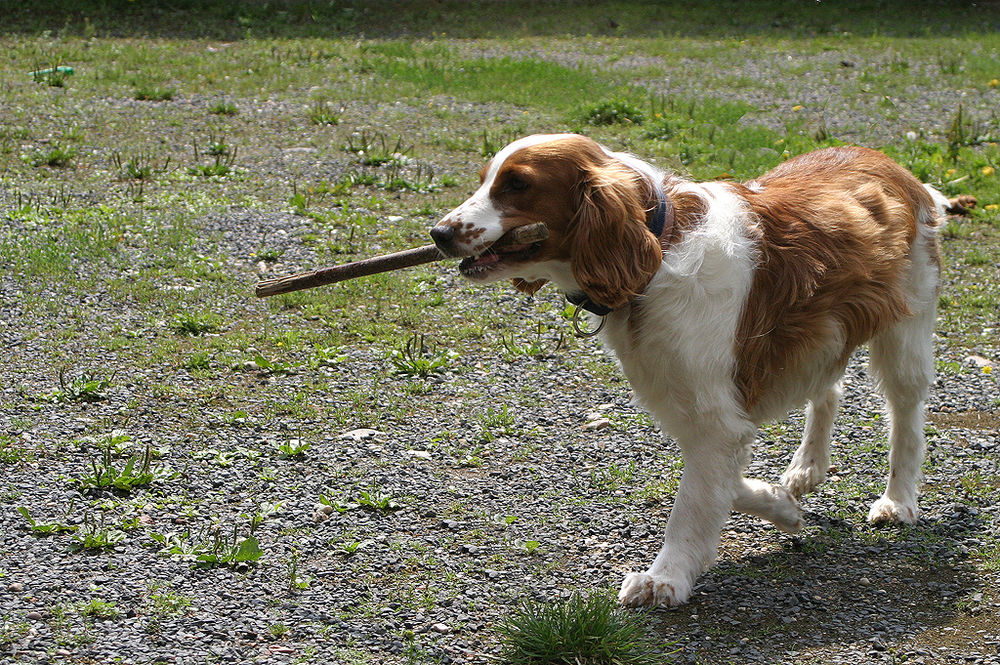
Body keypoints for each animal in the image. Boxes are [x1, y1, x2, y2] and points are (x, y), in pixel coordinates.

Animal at [432, 135, 952, 608]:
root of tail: (895, 168)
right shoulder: (699, 408)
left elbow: (693, 502)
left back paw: (898, 500)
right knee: (828, 390)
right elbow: (721, 485)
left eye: (517, 184)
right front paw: (781, 505)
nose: (439, 234)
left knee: (906, 418)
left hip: (903, 333)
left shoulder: (714, 418)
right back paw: (805, 468)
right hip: (823, 334)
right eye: (484, 180)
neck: (658, 250)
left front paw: (666, 577)